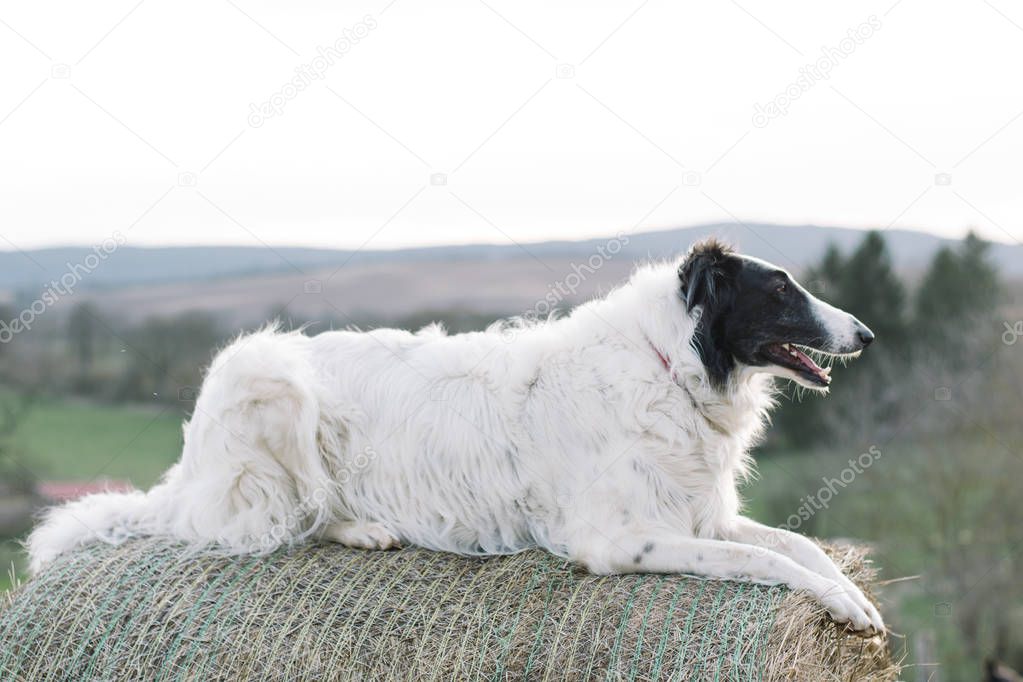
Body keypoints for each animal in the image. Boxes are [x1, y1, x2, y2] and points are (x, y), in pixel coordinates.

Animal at [28, 239, 883, 633]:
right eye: (780, 290)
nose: (867, 334)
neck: (667, 363)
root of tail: (186, 474)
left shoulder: (701, 513)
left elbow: (795, 547)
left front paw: (851, 600)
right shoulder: (619, 541)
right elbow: (762, 560)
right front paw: (839, 603)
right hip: (265, 374)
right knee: (289, 520)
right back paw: (361, 528)